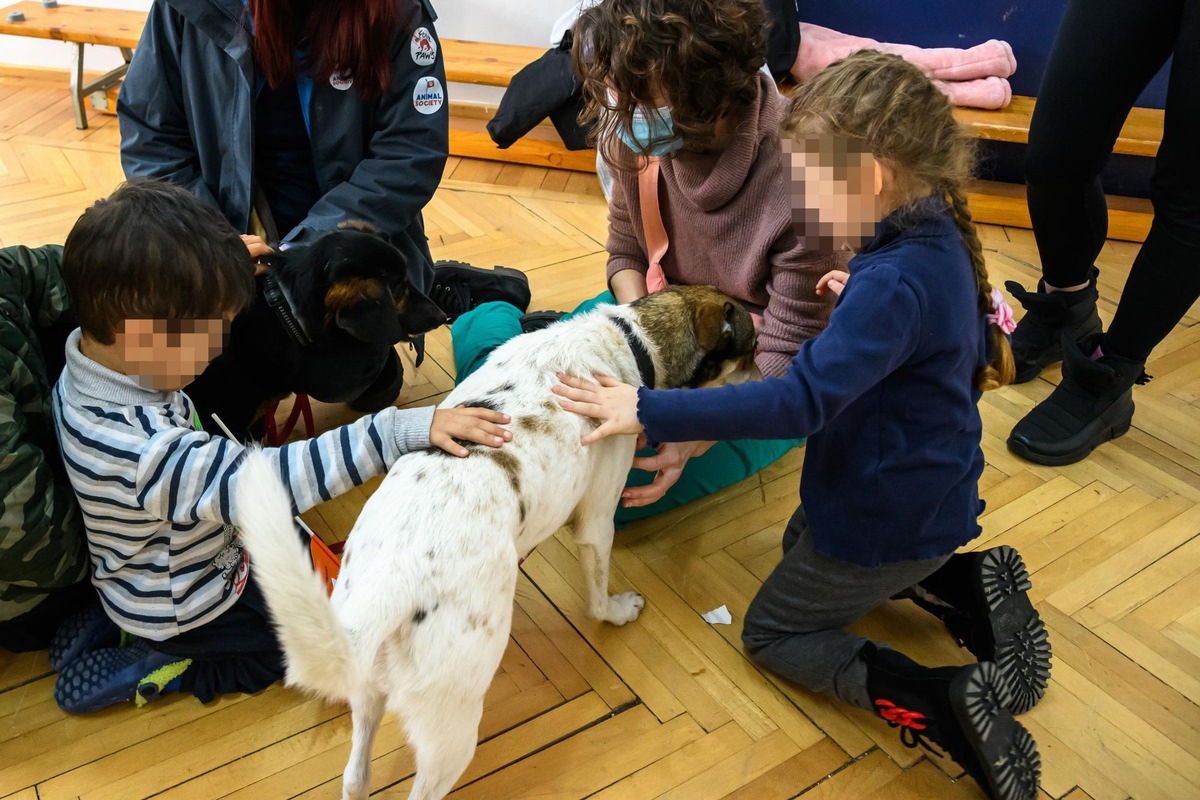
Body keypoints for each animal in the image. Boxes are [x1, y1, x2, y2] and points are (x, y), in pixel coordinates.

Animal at [232, 286, 753, 800]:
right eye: (748, 350)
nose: (767, 370)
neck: (629, 338)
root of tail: (390, 585)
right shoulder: (597, 520)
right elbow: (598, 597)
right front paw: (617, 611)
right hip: (453, 726)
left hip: (367, 690)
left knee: (356, 777)